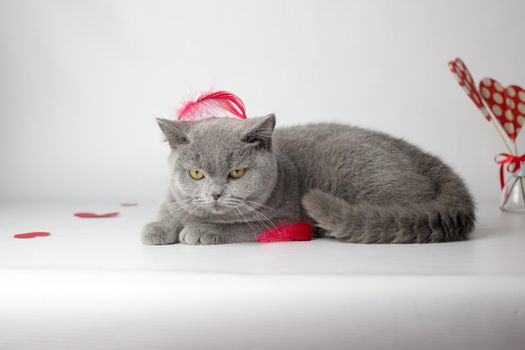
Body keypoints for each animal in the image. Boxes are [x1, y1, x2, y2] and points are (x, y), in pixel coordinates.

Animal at [142, 115, 474, 246]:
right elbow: (172, 210)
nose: (215, 194)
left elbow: (235, 226)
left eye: (236, 173)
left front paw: (200, 230)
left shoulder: (282, 219)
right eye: (196, 173)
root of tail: (422, 156)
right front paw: (158, 228)